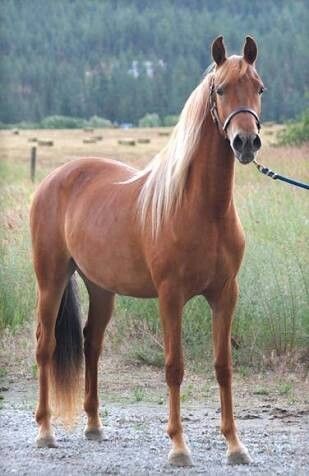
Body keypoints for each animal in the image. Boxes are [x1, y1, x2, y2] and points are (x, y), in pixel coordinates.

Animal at [30, 35, 262, 466]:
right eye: (220, 90)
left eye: (259, 88)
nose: (245, 142)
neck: (203, 209)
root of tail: (54, 178)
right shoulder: (170, 297)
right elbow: (174, 367)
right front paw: (178, 446)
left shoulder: (225, 295)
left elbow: (223, 366)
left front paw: (235, 445)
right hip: (51, 280)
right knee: (46, 347)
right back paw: (45, 430)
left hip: (101, 289)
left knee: (92, 344)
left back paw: (93, 425)